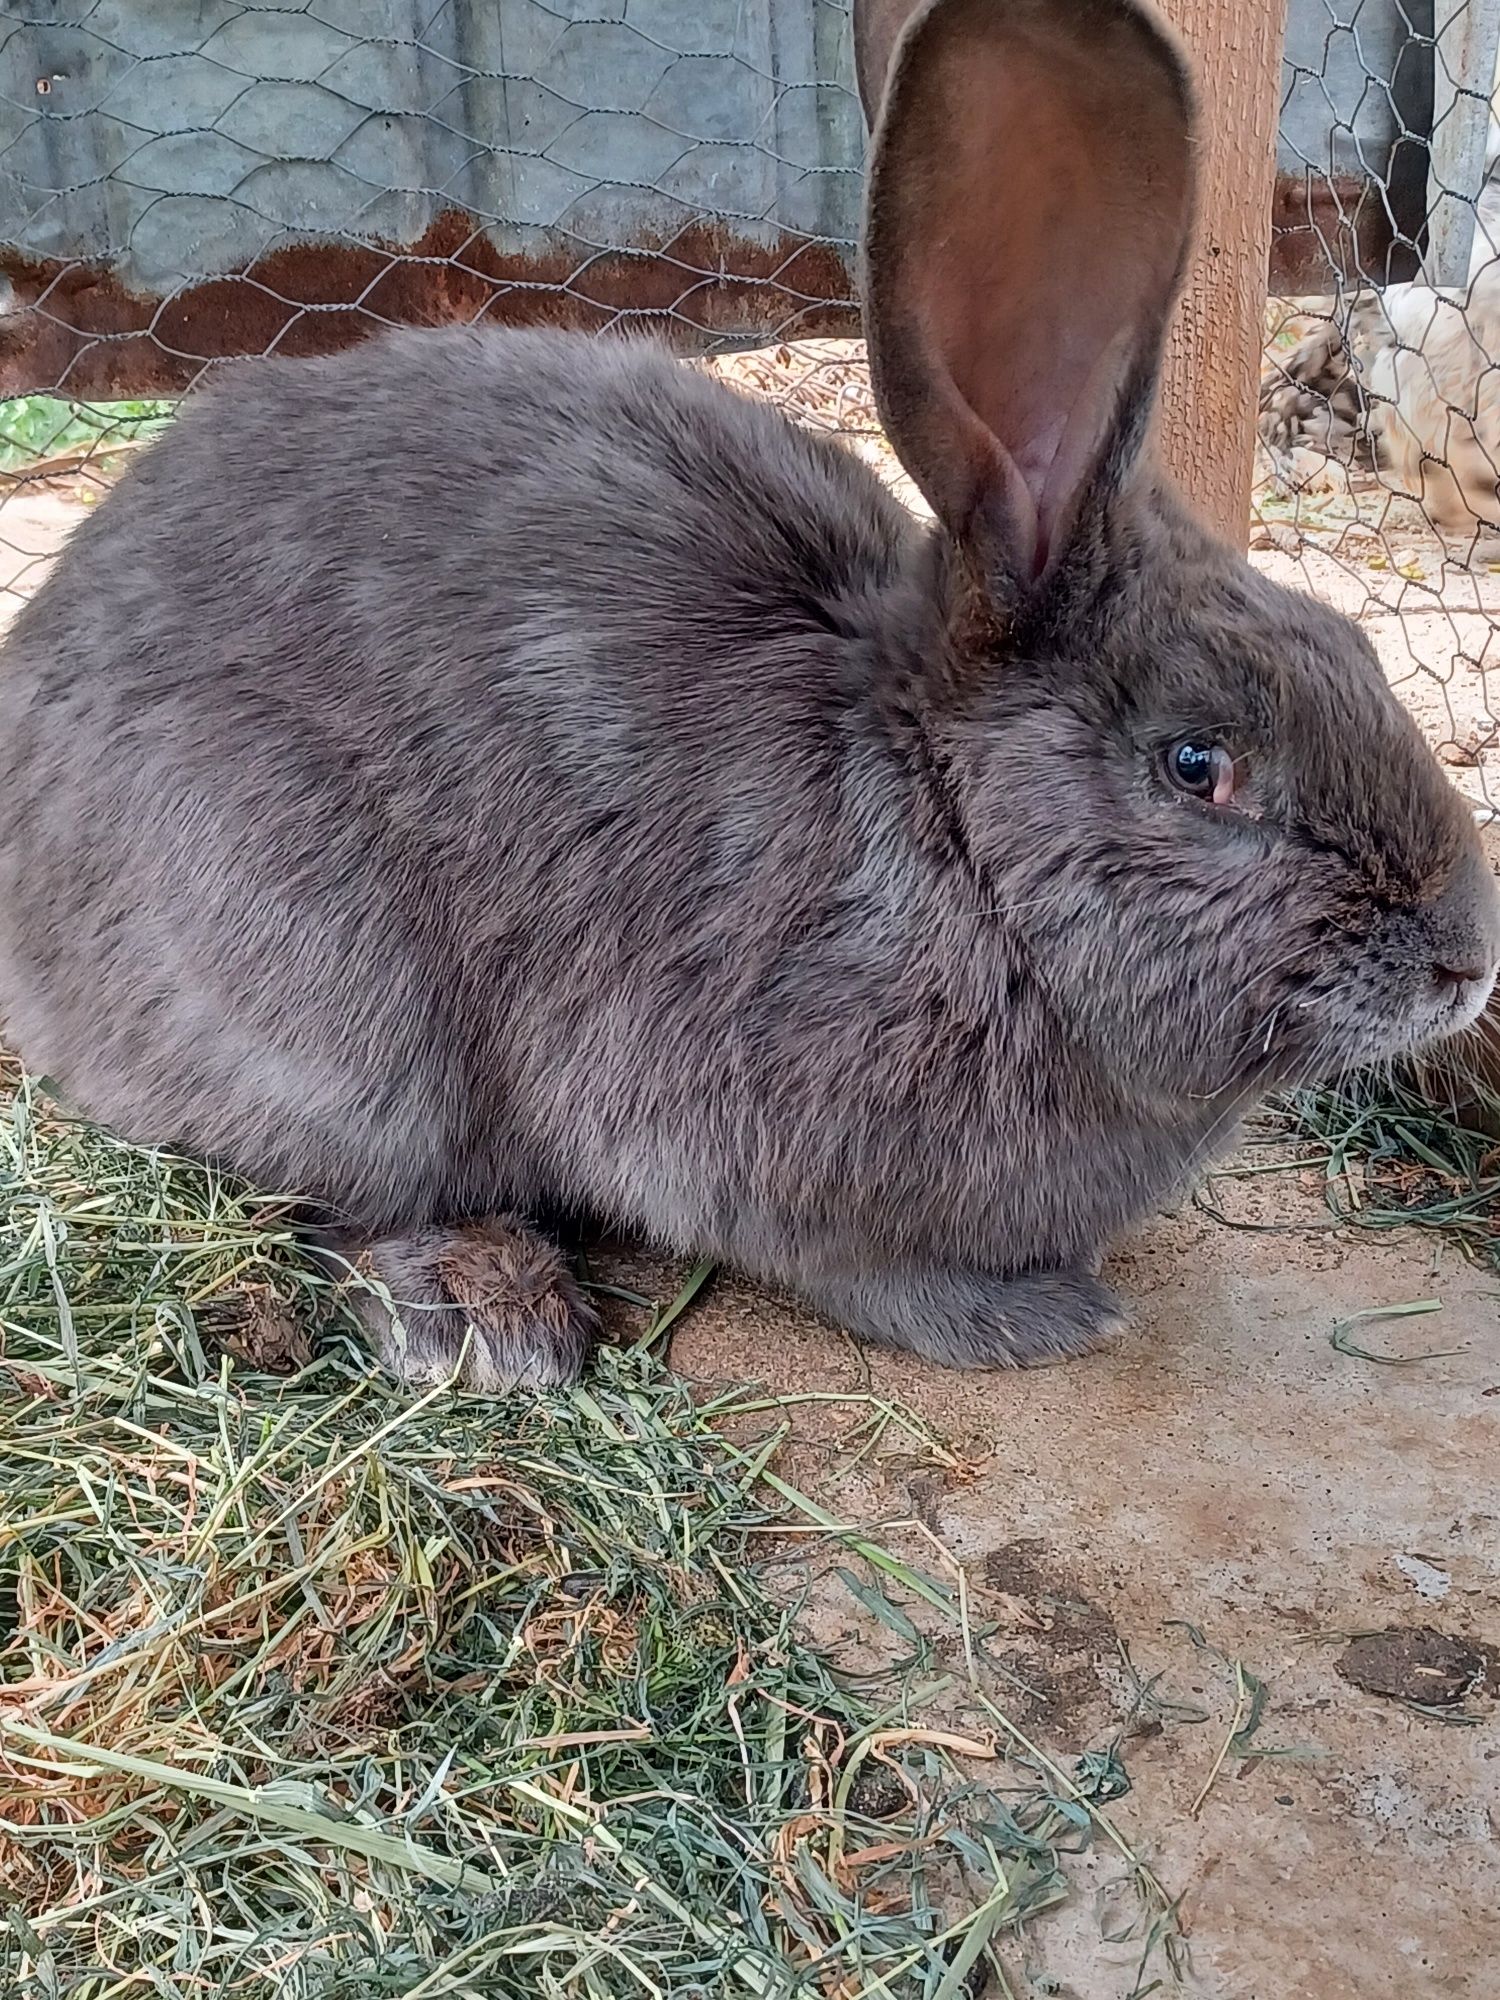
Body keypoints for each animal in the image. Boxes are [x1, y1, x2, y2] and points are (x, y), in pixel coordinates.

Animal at [2, 0, 1500, 1392]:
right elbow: (847, 1265)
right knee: (334, 1189)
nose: (1467, 960)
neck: (951, 834)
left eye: (1356, 650)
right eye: (1198, 765)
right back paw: (487, 1311)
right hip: (324, 988)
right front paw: (1030, 1320)